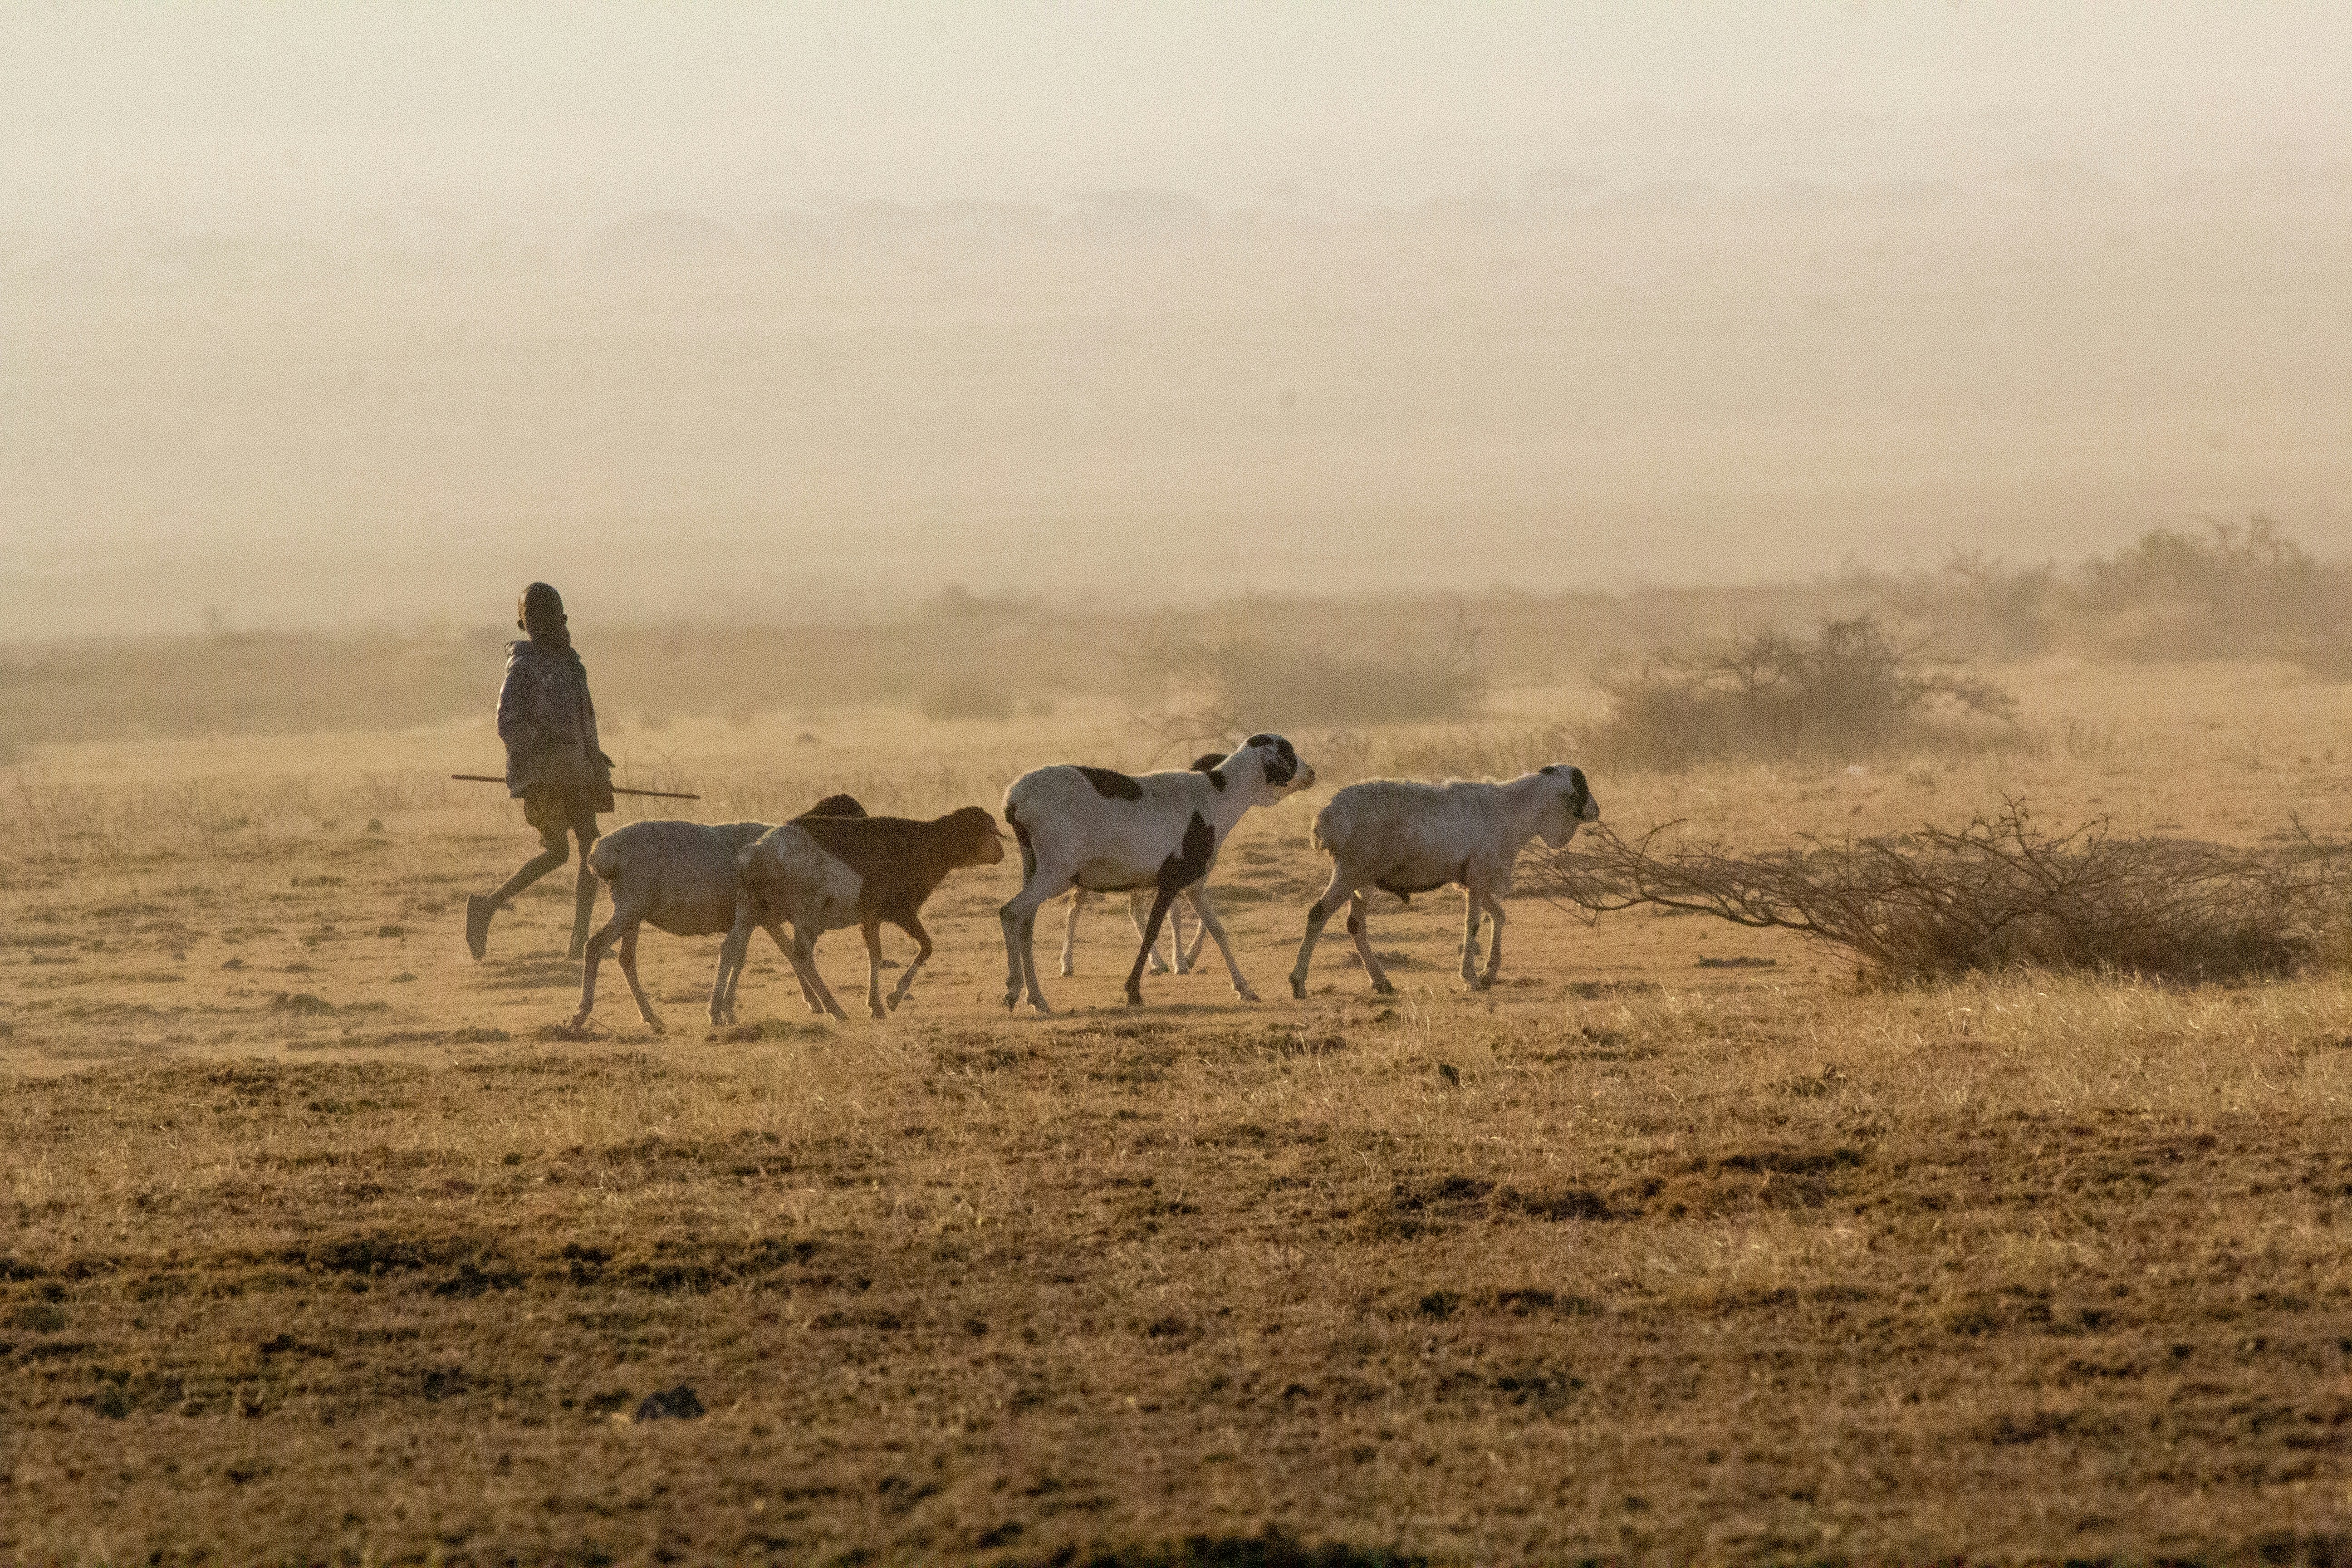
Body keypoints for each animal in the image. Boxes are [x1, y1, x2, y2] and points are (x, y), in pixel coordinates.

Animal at [569, 794, 862, 1033]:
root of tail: (601, 852)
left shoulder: (760, 918)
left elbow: (763, 955)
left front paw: (730, 1010)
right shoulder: (755, 914)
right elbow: (772, 953)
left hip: (633, 914)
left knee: (626, 959)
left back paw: (651, 1017)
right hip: (630, 908)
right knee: (595, 946)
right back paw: (581, 1014)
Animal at [722, 805, 1008, 1021]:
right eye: (987, 830)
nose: (1002, 854)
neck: (926, 846)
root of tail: (757, 853)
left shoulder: (870, 917)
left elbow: (876, 954)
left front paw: (876, 1005)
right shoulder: (901, 911)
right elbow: (926, 947)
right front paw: (893, 999)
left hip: (752, 909)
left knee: (736, 948)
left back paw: (725, 1009)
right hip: (806, 915)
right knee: (802, 956)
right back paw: (834, 1009)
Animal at [1057, 752, 1226, 978]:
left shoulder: (1196, 881)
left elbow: (1204, 919)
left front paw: (1189, 958)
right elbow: (1175, 917)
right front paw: (1181, 963)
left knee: (1134, 911)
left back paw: (1158, 962)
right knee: (1074, 909)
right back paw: (1067, 965)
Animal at [1286, 766, 1599, 998]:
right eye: (1581, 786)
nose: (1597, 811)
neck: (1511, 810)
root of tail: (1326, 816)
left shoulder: (1471, 880)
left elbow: (1499, 916)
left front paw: (1488, 973)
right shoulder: (1478, 878)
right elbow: (1473, 924)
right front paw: (1471, 979)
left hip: (1361, 880)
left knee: (1355, 926)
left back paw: (1381, 981)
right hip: (1350, 872)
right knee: (1318, 914)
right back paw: (1298, 983)